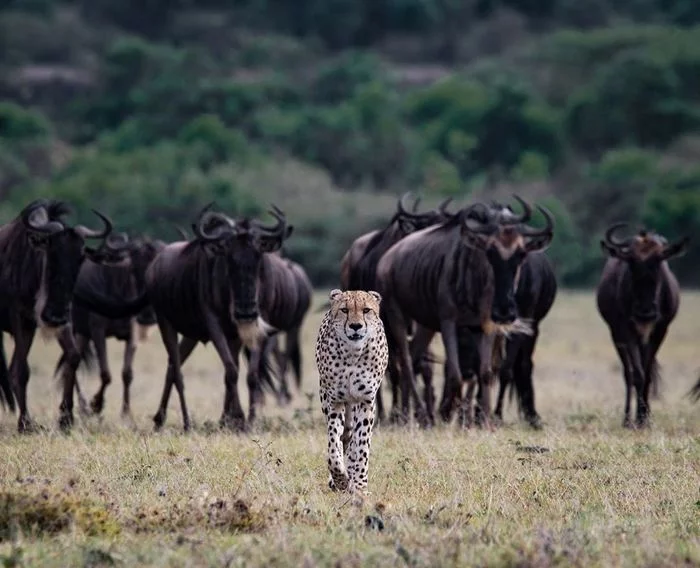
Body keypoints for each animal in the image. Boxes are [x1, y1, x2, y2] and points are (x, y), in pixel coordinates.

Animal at [316, 288, 388, 492]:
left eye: (366, 310)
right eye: (344, 310)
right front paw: (340, 478)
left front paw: (359, 484)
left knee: (353, 440)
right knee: (344, 437)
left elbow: (361, 445)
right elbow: (333, 446)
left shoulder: (365, 401)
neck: (352, 354)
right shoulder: (334, 401)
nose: (356, 326)